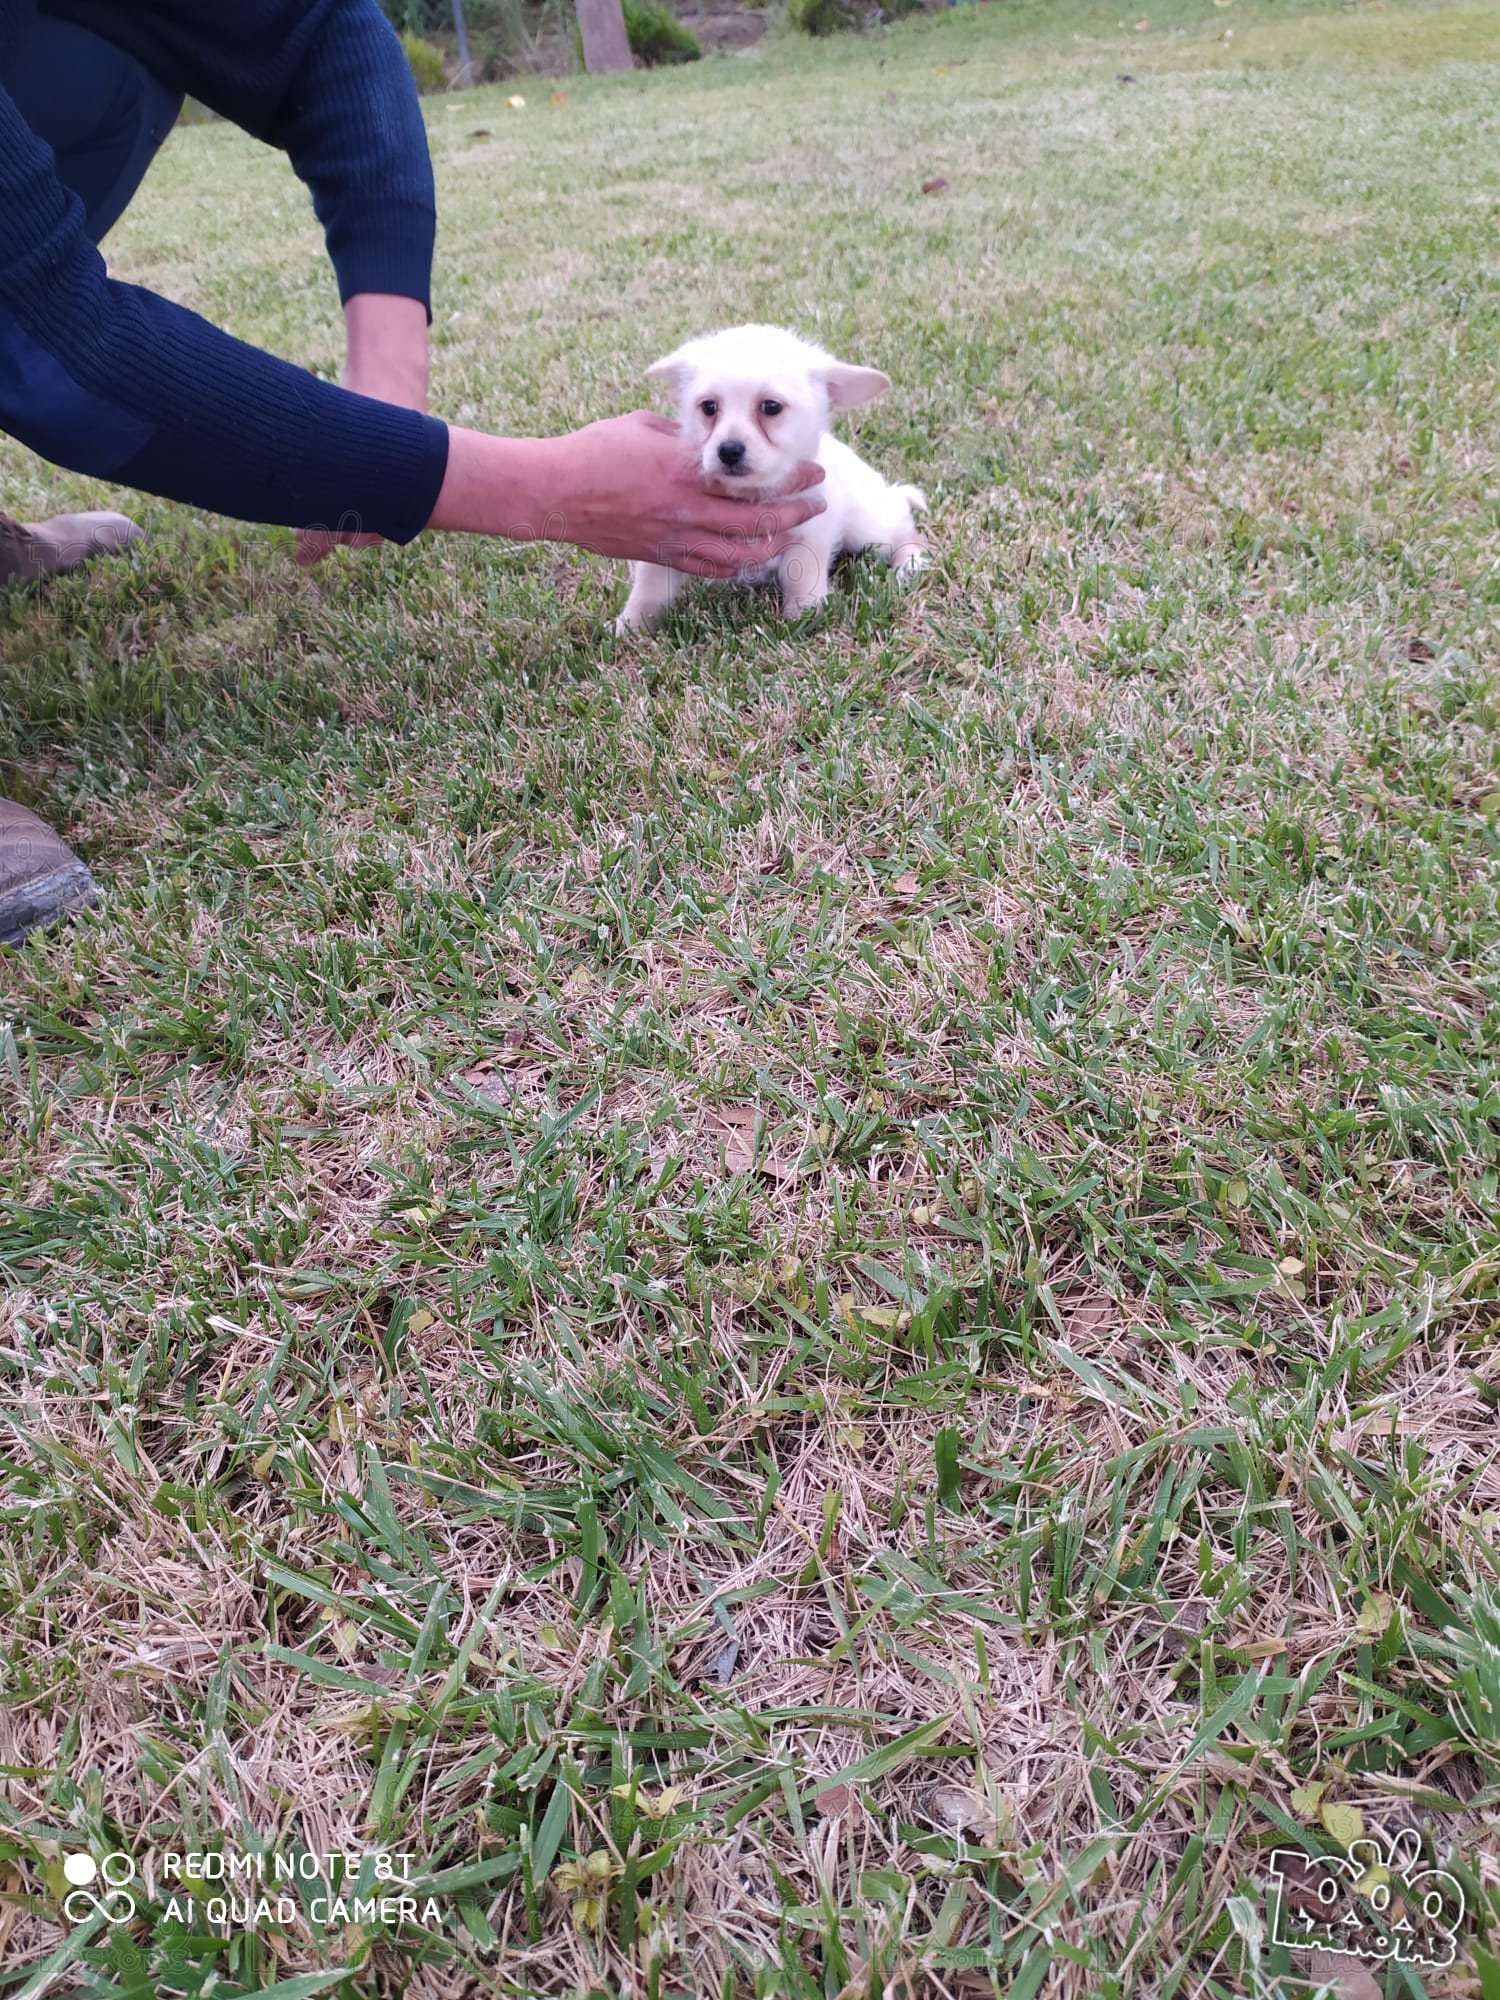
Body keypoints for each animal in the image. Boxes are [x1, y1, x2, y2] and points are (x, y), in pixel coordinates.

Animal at [616, 324, 927, 632]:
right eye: (708, 407)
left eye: (771, 407)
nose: (728, 450)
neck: (751, 494)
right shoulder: (669, 541)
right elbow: (650, 586)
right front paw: (632, 625)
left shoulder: (809, 532)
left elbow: (803, 577)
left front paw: (802, 617)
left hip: (866, 528)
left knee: (905, 531)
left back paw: (908, 564)